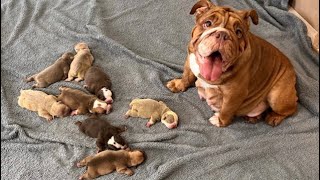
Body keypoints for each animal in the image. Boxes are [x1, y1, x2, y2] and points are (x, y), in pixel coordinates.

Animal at [168, 0, 298, 126]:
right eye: (207, 23)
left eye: (238, 32)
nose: (222, 34)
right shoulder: (190, 60)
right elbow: (186, 76)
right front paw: (178, 85)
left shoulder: (234, 94)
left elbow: (226, 110)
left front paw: (220, 121)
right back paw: (254, 117)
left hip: (277, 97)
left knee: (292, 109)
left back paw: (274, 117)